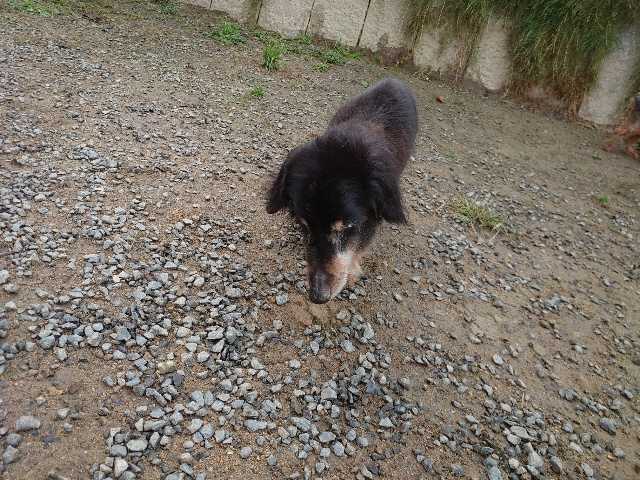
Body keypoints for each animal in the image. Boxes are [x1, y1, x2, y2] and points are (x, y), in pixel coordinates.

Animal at [266, 78, 418, 304]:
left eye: (345, 228)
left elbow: (362, 243)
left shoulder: (372, 217)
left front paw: (352, 269)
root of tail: (394, 80)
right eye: (304, 225)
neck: (346, 145)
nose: (317, 297)